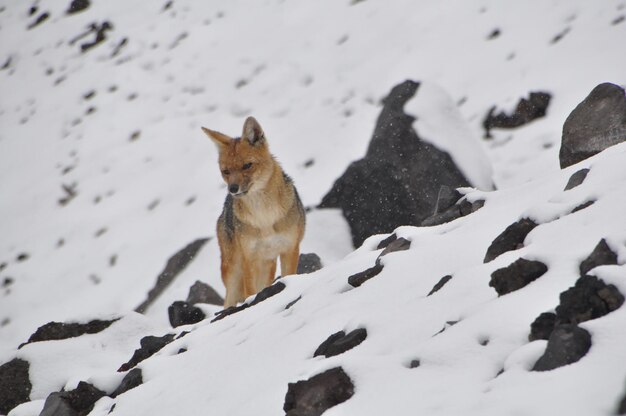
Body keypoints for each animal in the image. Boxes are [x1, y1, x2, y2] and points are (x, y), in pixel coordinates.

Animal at [202, 117, 304, 308]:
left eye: (247, 166)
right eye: (226, 171)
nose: (233, 189)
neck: (264, 216)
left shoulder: (290, 248)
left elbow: (289, 276)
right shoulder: (249, 258)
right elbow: (251, 292)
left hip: (267, 264)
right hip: (233, 270)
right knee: (229, 300)